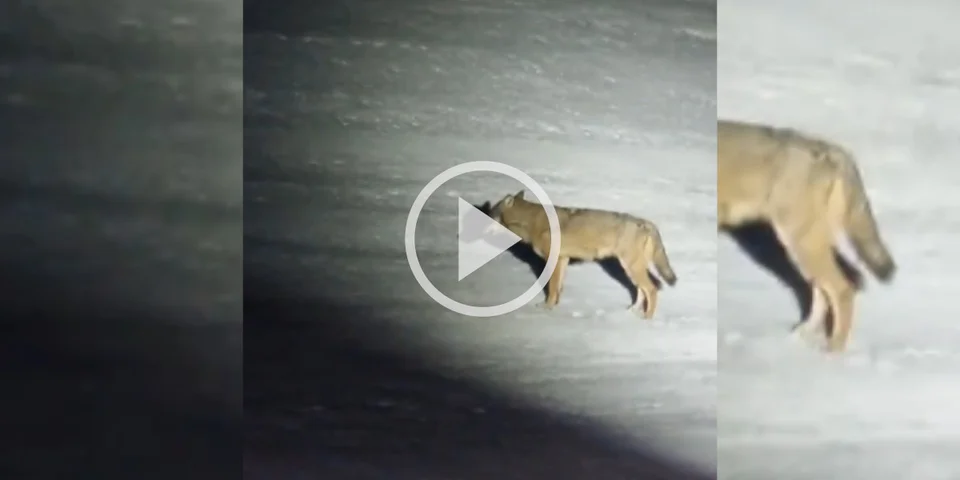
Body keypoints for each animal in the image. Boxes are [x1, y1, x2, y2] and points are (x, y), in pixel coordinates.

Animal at [486, 190, 677, 318]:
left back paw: (647, 319)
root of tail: (646, 222)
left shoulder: (554, 260)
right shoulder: (563, 260)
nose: (481, 225)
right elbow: (558, 288)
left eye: (490, 214)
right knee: (642, 289)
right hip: (630, 268)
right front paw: (555, 307)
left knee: (651, 289)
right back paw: (632, 312)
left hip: (631, 267)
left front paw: (546, 308)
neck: (532, 222)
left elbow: (552, 288)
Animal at [717, 119, 896, 352]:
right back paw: (801, 337)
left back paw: (832, 352)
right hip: (809, 245)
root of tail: (833, 149)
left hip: (798, 241)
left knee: (842, 289)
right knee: (832, 286)